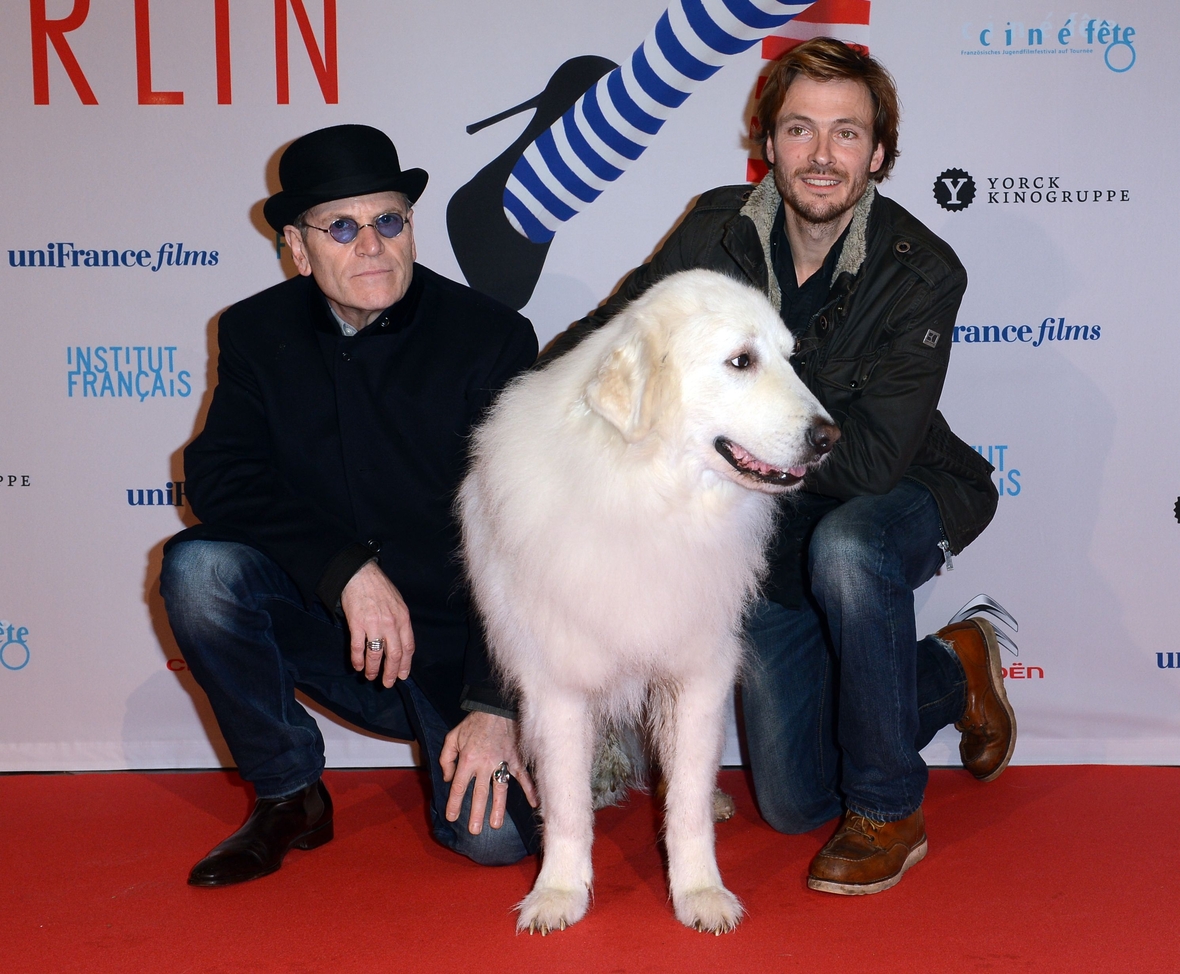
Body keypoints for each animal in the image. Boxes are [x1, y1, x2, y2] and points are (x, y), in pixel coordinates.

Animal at [457, 267, 840, 935]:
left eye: (791, 359)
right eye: (741, 361)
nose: (829, 436)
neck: (647, 494)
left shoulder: (698, 673)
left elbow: (684, 800)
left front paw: (699, 891)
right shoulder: (559, 684)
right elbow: (566, 807)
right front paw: (558, 892)